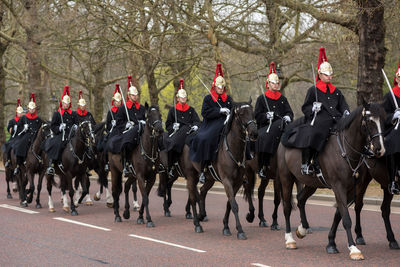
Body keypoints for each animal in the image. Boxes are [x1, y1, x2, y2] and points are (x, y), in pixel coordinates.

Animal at [180, 101, 258, 240]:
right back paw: (197, 224)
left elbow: (229, 203)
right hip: (191, 176)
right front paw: (240, 230)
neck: (233, 149)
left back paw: (202, 215)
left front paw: (226, 227)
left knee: (202, 191)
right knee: (193, 198)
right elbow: (234, 205)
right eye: (241, 114)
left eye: (252, 113)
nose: (254, 133)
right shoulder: (227, 181)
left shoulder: (237, 182)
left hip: (209, 178)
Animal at [276, 103, 386, 260]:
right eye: (369, 121)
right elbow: (346, 219)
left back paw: (303, 229)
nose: (379, 149)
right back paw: (290, 240)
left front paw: (331, 244)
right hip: (286, 179)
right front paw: (353, 248)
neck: (345, 150)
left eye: (383, 121)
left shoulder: (349, 189)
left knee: (301, 199)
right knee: (287, 207)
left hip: (312, 183)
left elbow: (339, 215)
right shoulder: (338, 187)